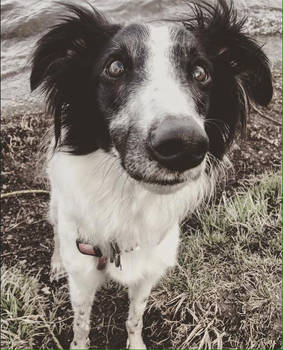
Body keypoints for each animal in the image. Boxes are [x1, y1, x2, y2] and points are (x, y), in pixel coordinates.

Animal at [30, 0, 272, 348]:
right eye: (115, 67)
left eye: (201, 72)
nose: (183, 144)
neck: (128, 199)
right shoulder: (84, 275)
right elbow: (81, 324)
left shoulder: (148, 270)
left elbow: (135, 317)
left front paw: (135, 343)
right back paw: (57, 261)